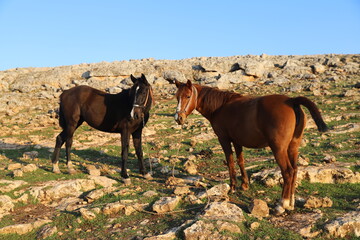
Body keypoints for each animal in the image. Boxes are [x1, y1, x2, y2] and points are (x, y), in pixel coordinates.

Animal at [167, 80, 328, 214]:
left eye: (188, 96)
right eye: (177, 97)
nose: (178, 118)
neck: (220, 107)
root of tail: (292, 101)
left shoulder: (224, 139)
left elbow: (230, 162)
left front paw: (232, 186)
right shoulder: (237, 141)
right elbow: (240, 161)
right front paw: (244, 184)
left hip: (279, 149)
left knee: (288, 172)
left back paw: (282, 205)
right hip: (293, 147)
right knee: (294, 170)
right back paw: (291, 203)